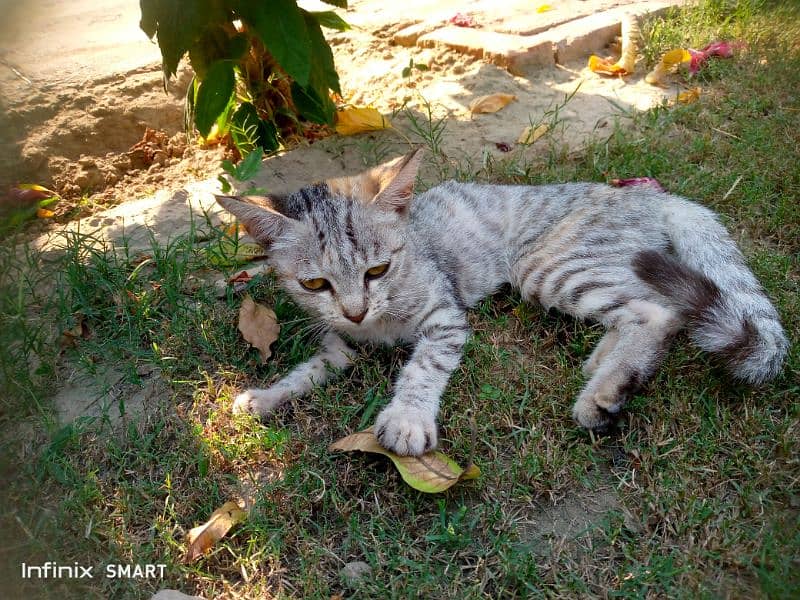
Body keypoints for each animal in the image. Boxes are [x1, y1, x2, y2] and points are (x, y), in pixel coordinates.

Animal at [217, 149, 788, 454]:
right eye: (315, 285)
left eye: (377, 270)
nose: (355, 310)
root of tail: (648, 194)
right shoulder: (342, 342)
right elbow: (310, 368)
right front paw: (266, 396)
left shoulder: (445, 316)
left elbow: (423, 365)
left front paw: (407, 417)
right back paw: (604, 367)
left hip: (551, 268)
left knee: (657, 311)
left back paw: (606, 392)